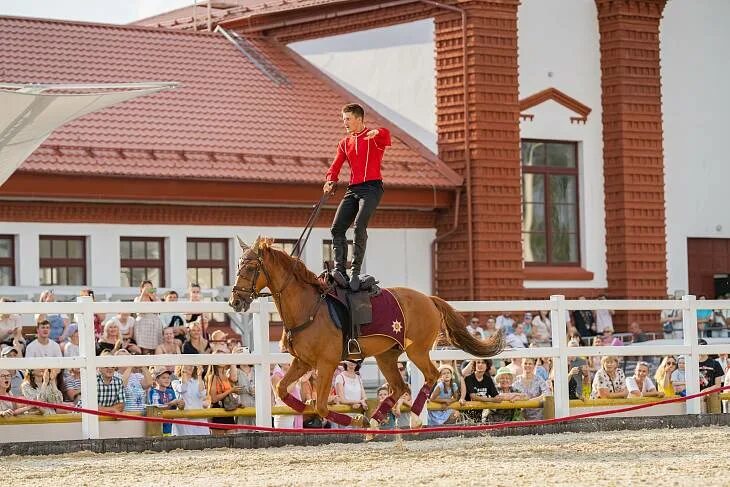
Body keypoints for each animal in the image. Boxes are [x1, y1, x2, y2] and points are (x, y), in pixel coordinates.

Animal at [228, 238, 500, 428]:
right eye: (238, 265)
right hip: (387, 355)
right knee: (399, 387)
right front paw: (304, 409)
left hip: (417, 350)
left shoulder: (326, 363)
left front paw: (356, 420)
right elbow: (282, 390)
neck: (309, 307)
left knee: (430, 376)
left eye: (250, 267)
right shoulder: (303, 362)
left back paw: (413, 417)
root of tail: (429, 299)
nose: (235, 301)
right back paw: (377, 420)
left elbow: (321, 406)